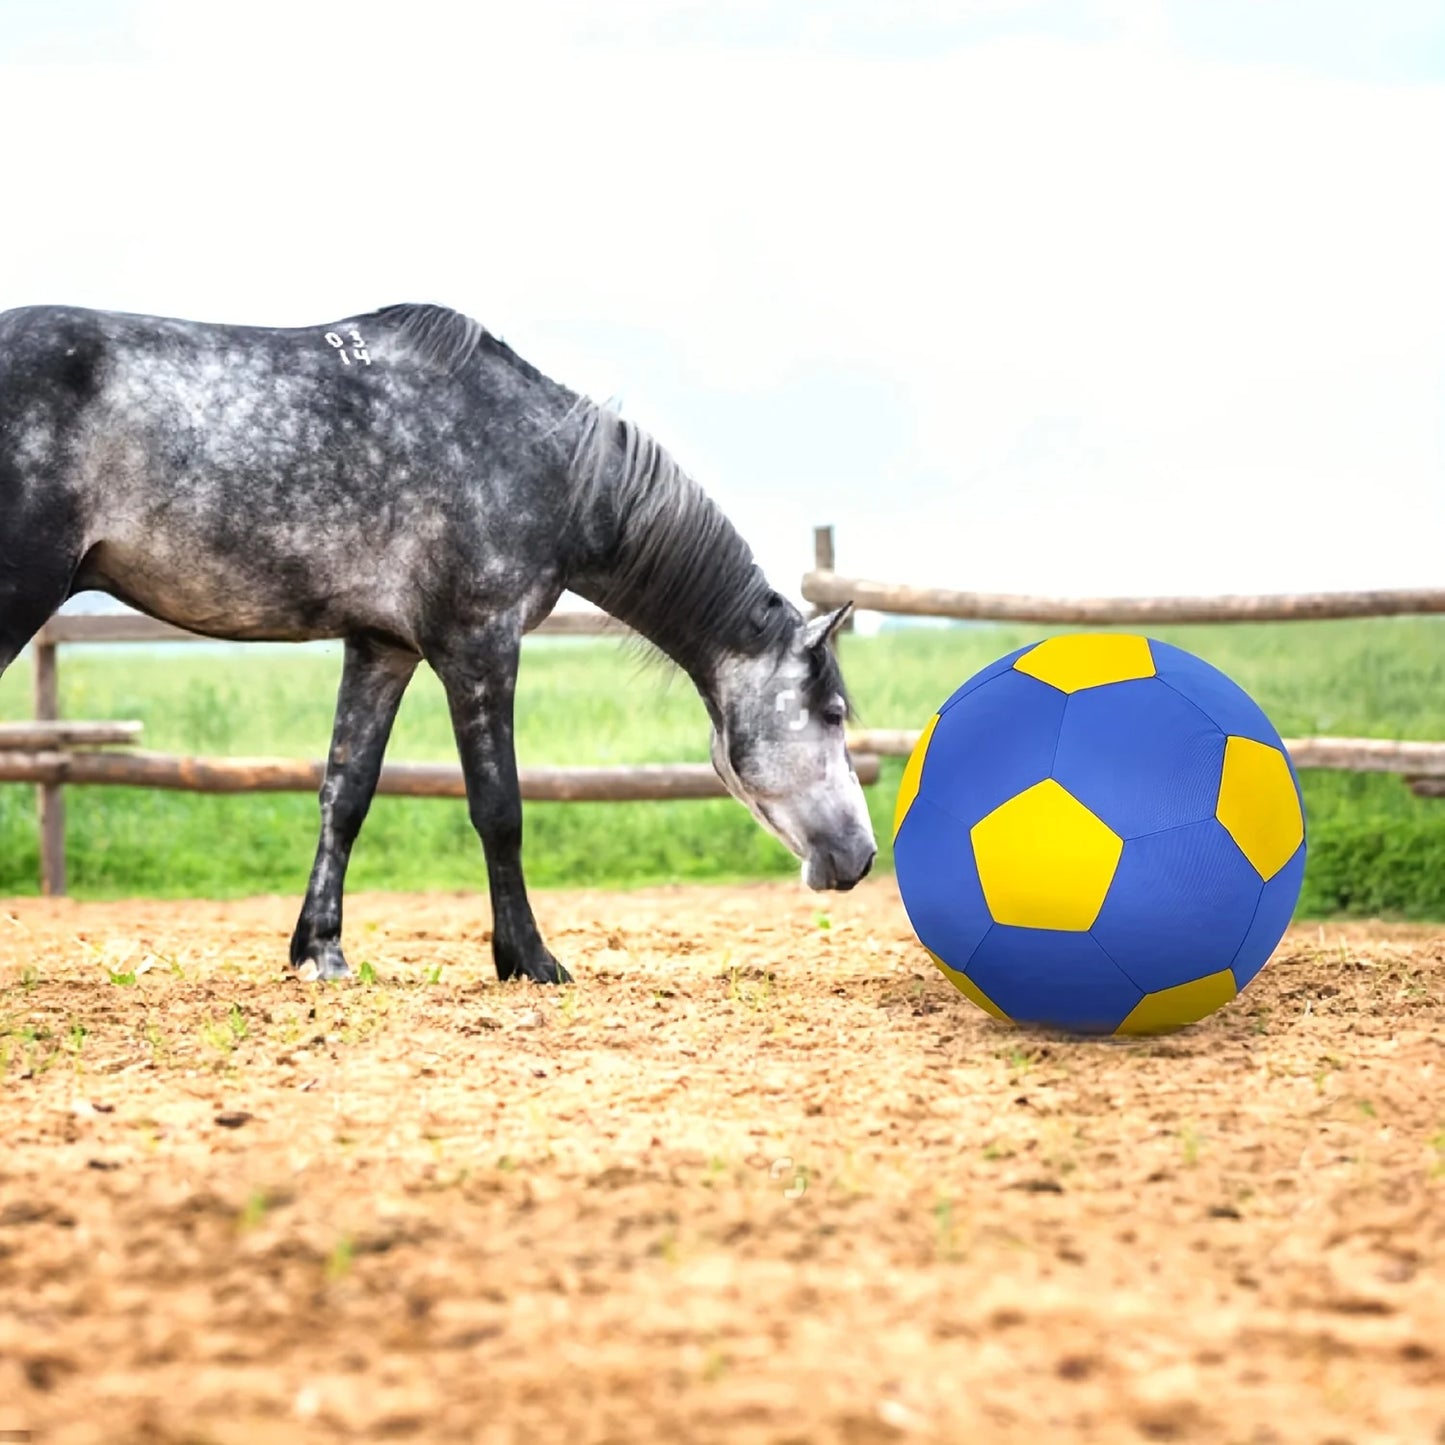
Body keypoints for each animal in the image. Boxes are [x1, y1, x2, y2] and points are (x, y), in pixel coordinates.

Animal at [0, 302, 876, 983]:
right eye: (833, 713)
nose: (863, 856)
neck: (540, 459)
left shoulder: (381, 645)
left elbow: (345, 794)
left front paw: (319, 950)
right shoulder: (478, 644)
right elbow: (499, 808)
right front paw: (529, 959)